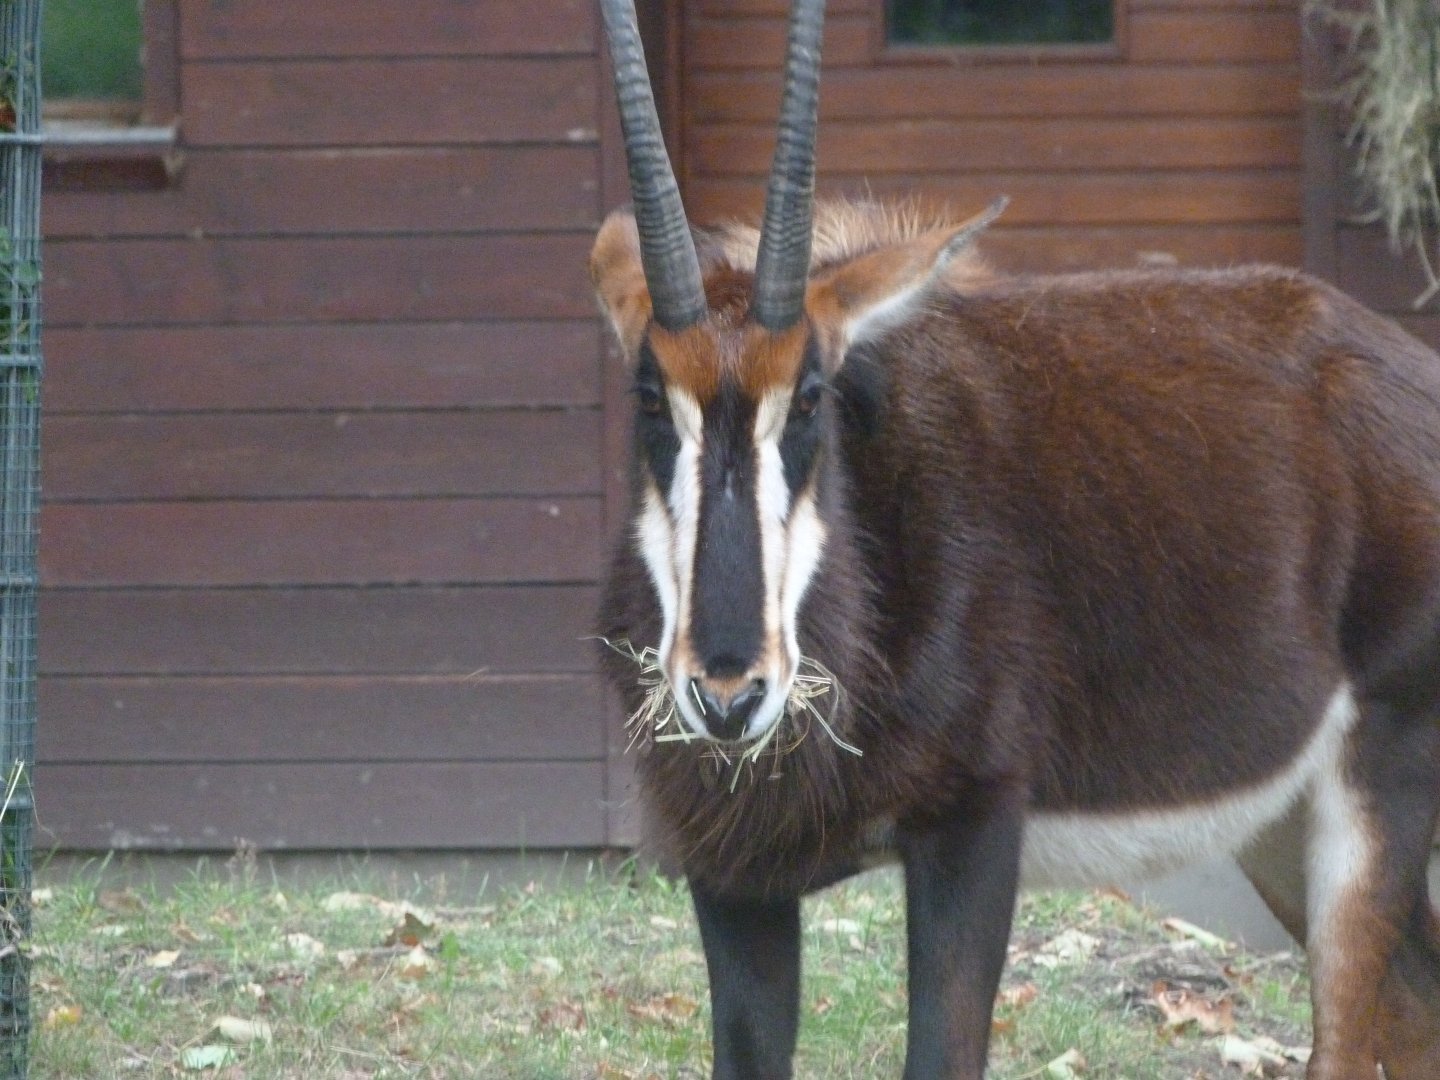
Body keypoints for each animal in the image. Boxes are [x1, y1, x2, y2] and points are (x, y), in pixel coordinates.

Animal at [590, 0, 1440, 1075]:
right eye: (649, 397)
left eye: (811, 395)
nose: (731, 695)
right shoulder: (734, 874)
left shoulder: (972, 829)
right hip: (1279, 823)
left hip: (1381, 776)